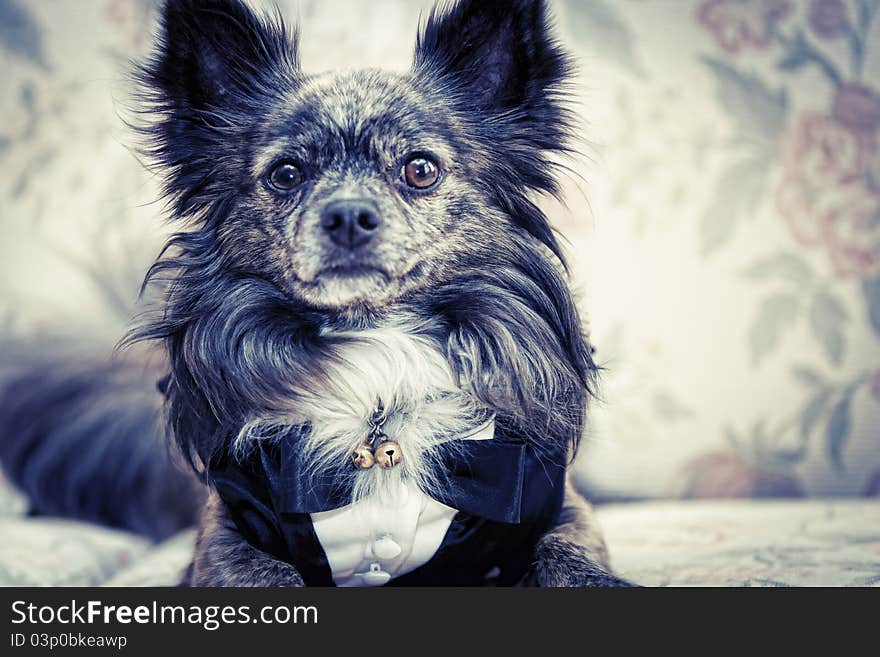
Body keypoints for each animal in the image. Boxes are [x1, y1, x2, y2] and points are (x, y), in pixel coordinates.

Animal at [1, 0, 632, 588]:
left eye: (420, 169)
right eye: (286, 174)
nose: (348, 215)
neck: (378, 364)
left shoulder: (550, 506)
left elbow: (567, 554)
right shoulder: (228, 531)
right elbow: (264, 576)